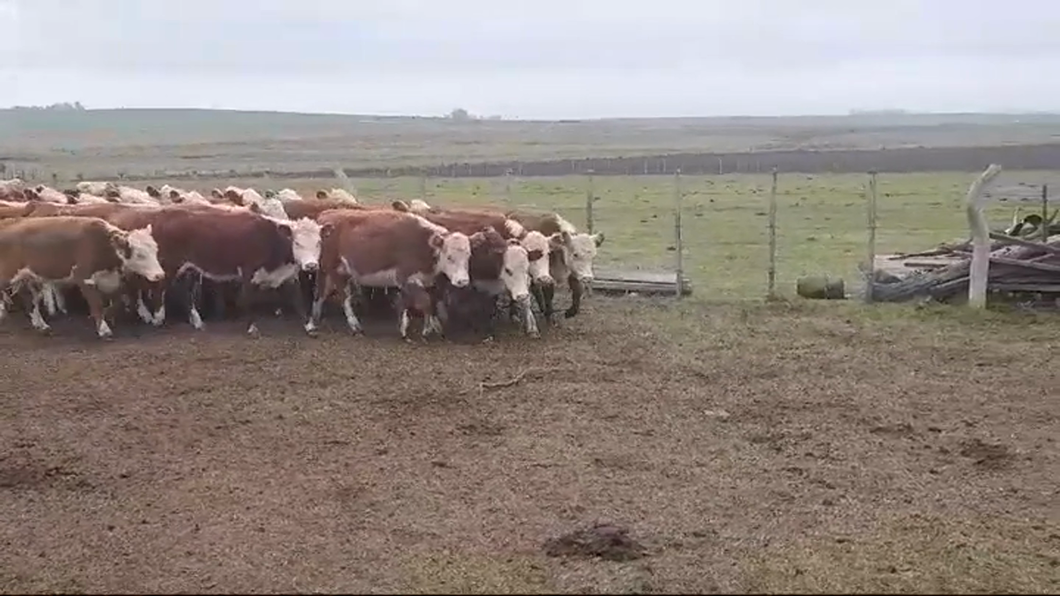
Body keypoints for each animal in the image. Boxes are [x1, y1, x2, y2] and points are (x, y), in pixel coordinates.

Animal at [0, 214, 164, 337]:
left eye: (156, 250)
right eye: (140, 255)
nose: (160, 275)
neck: (103, 243)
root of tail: (7, 222)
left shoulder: (114, 280)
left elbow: (117, 302)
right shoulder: (83, 277)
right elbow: (96, 304)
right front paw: (103, 329)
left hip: (29, 277)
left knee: (30, 299)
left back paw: (40, 324)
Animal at [307, 208, 472, 339]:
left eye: (468, 256)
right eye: (449, 257)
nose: (463, 281)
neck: (424, 243)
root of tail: (326, 215)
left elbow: (413, 302)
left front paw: (409, 327)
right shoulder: (405, 277)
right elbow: (425, 301)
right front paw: (426, 329)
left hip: (330, 272)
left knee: (320, 294)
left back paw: (312, 323)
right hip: (334, 271)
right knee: (344, 298)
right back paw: (354, 325)